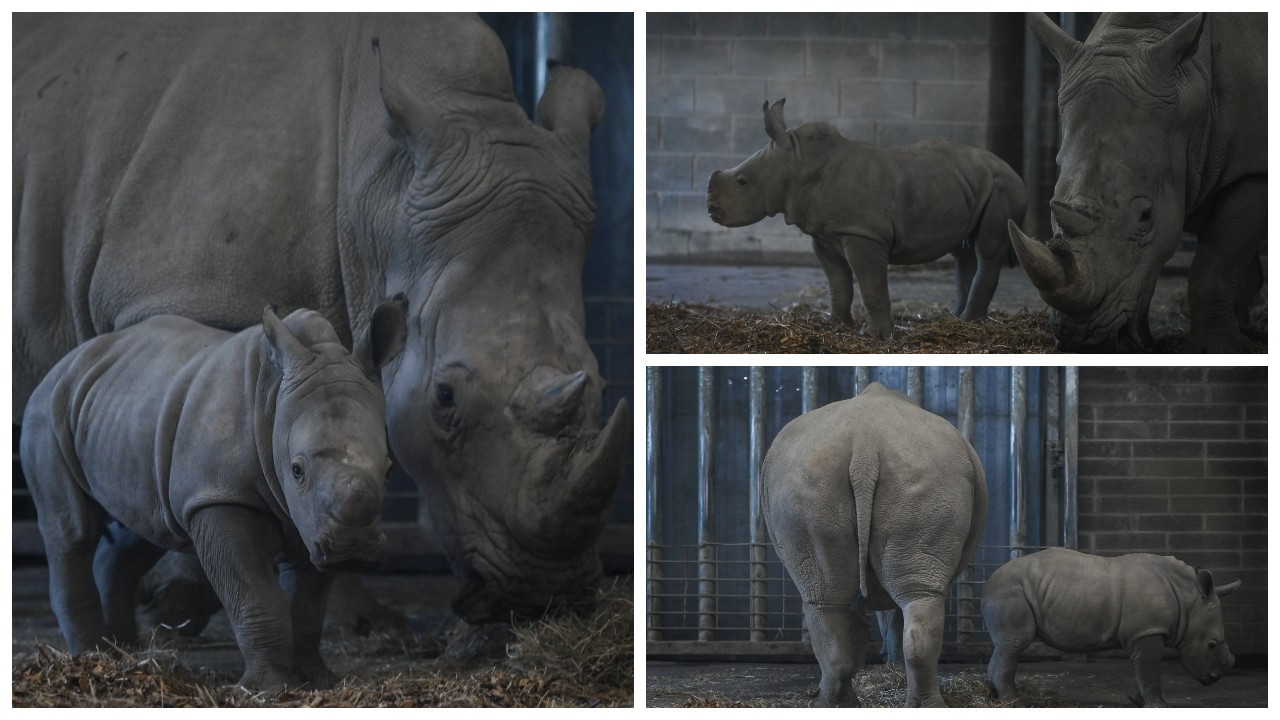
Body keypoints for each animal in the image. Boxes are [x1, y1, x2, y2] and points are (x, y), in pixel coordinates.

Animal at [23, 299, 404, 686]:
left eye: (389, 471)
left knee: (143, 525)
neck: (274, 400)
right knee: (73, 531)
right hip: (48, 410)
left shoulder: (309, 519)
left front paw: (317, 681)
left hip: (125, 408)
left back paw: (123, 651)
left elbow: (308, 603)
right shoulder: (219, 495)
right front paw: (271, 688)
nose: (352, 549)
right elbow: (252, 592)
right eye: (297, 470)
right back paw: (91, 657)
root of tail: (70, 359)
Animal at [706, 98, 1024, 338]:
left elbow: (870, 283)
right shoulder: (825, 233)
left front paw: (877, 337)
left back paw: (970, 323)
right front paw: (835, 325)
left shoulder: (863, 233)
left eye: (742, 182)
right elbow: (838, 281)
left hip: (1002, 185)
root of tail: (1011, 168)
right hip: (969, 183)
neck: (798, 161)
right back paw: (956, 318)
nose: (712, 210)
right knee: (964, 250)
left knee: (987, 250)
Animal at [977, 545, 1239, 702]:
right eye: (1212, 645)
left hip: (1013, 588)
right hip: (1010, 589)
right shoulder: (1147, 631)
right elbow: (1150, 669)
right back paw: (1015, 702)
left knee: (1008, 645)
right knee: (1015, 642)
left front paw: (1136, 700)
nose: (1214, 678)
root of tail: (988, 581)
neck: (1188, 599)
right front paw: (1158, 705)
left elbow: (1146, 669)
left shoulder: (1144, 632)